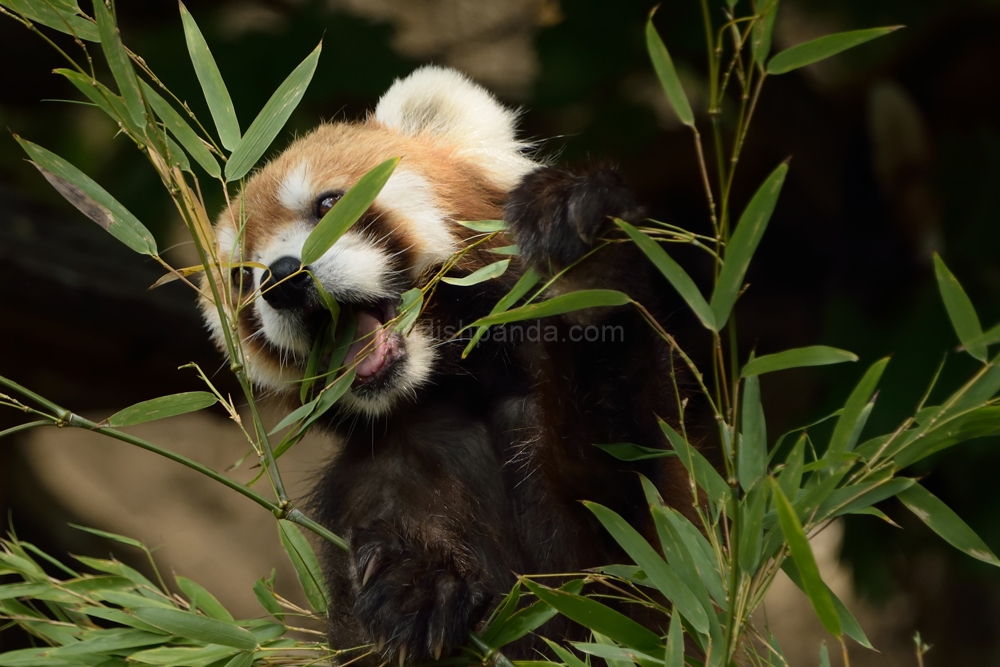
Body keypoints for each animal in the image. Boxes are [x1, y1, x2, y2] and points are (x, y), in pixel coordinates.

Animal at [203, 68, 688, 667]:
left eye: (329, 204)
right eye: (241, 278)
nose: (281, 280)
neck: (449, 393)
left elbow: (615, 537)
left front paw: (584, 265)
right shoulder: (371, 479)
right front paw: (417, 584)